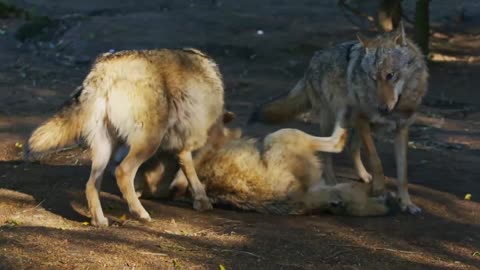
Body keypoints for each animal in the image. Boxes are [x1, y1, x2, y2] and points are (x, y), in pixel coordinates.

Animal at [248, 22, 428, 213]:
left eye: (390, 75)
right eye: (373, 78)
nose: (382, 109)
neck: (400, 106)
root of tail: (313, 61)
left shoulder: (401, 129)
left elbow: (403, 173)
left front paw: (407, 203)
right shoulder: (361, 118)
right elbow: (376, 160)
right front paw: (380, 188)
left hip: (357, 123)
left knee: (351, 146)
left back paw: (363, 176)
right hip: (339, 115)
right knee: (330, 150)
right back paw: (332, 184)